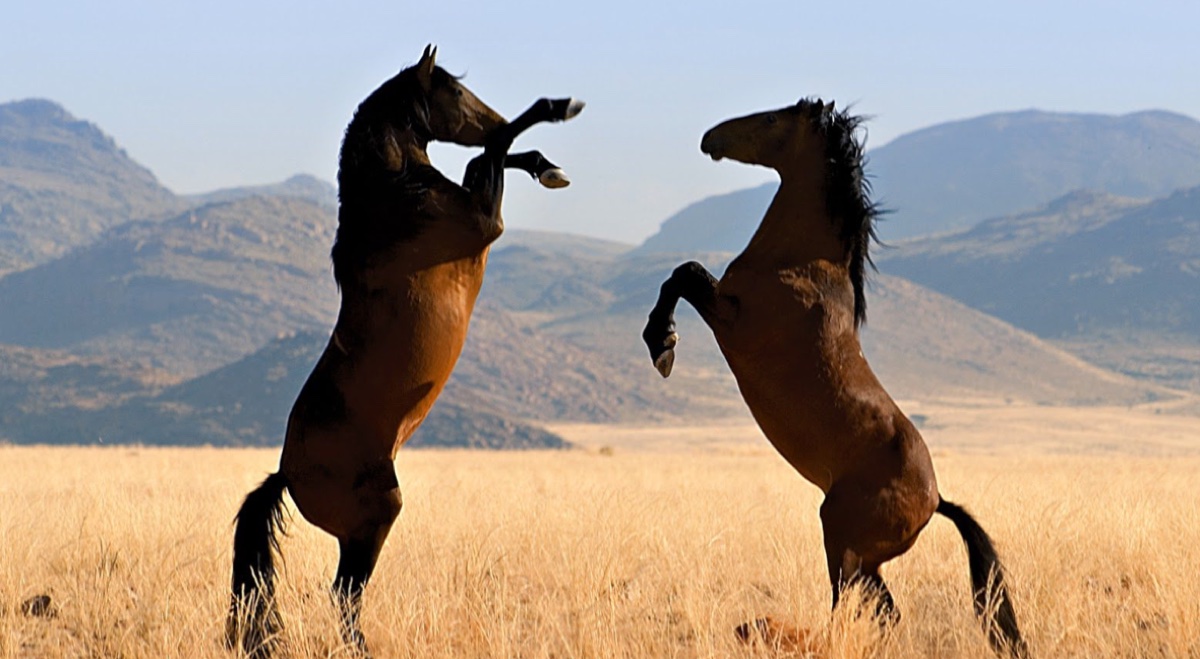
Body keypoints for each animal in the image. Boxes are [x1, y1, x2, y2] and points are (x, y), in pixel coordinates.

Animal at [225, 45, 584, 657]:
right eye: (455, 92)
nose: (486, 113)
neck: (396, 198)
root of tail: (285, 475)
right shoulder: (485, 220)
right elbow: (495, 148)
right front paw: (559, 109)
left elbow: (489, 156)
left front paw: (546, 165)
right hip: (375, 518)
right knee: (344, 593)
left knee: (344, 593)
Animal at [641, 99, 1028, 658]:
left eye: (771, 119)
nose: (709, 138)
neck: (800, 263)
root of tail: (936, 501)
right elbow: (681, 272)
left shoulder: (732, 321)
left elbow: (685, 272)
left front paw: (662, 345)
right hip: (863, 558)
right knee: (883, 611)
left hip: (841, 540)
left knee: (852, 610)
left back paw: (767, 630)